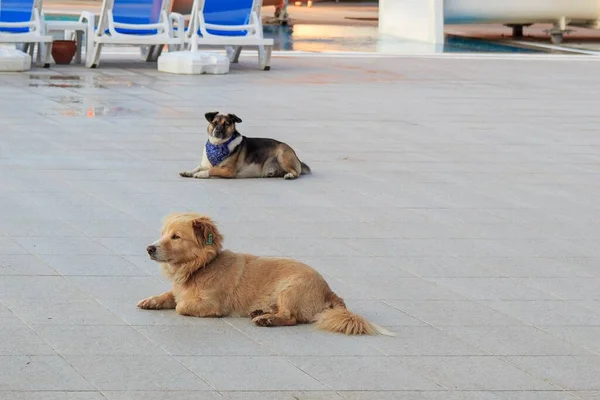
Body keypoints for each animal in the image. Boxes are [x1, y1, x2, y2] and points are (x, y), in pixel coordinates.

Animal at [138, 212, 392, 334]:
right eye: (162, 234)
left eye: (176, 237)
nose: (149, 248)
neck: (201, 267)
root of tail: (329, 291)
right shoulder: (178, 290)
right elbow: (169, 295)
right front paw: (151, 300)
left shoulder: (212, 304)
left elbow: (181, 306)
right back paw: (261, 312)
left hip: (290, 288)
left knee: (291, 317)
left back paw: (267, 320)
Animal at [179, 112, 312, 181]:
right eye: (214, 123)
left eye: (226, 124)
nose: (217, 131)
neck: (217, 145)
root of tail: (296, 156)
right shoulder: (205, 164)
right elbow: (198, 167)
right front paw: (188, 172)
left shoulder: (228, 171)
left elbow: (212, 170)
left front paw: (201, 174)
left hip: (282, 155)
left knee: (296, 172)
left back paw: (290, 175)